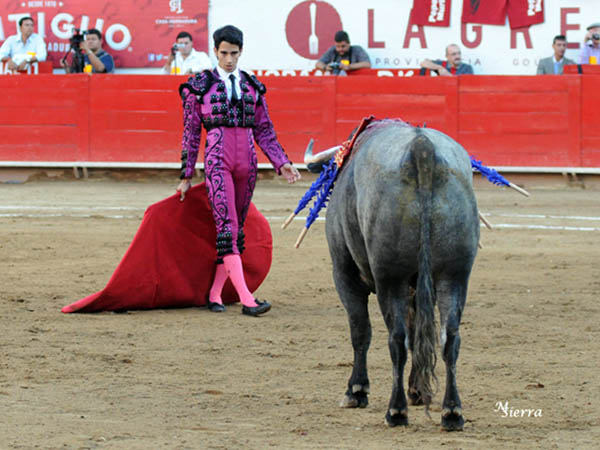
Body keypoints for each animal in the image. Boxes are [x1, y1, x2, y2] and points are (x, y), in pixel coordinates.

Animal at [326, 120, 480, 432]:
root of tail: (421, 147)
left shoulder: (344, 273)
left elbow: (360, 331)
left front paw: (356, 390)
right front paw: (418, 390)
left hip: (390, 279)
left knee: (397, 339)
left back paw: (396, 411)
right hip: (454, 276)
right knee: (449, 338)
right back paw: (452, 412)